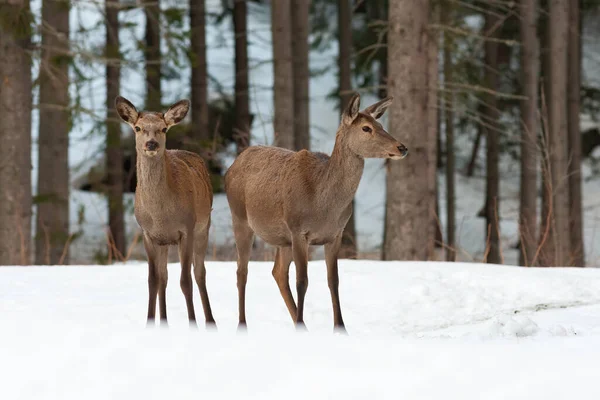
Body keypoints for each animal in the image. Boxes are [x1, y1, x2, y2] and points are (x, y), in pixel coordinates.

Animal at [115, 95, 216, 326]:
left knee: (200, 272)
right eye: (138, 128)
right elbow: (153, 280)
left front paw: (192, 323)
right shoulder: (148, 234)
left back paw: (210, 321)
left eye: (163, 129)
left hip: (203, 227)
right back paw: (164, 321)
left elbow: (185, 281)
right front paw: (150, 322)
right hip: (165, 241)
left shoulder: (186, 229)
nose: (151, 143)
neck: (160, 214)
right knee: (164, 276)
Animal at [225, 94, 408, 332]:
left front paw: (341, 327)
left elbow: (334, 280)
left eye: (381, 125)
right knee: (242, 271)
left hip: (282, 238)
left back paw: (299, 323)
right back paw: (243, 324)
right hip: (240, 218)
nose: (402, 147)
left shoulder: (335, 234)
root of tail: (231, 167)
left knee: (277, 272)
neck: (324, 206)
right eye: (366, 128)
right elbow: (302, 281)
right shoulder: (298, 230)